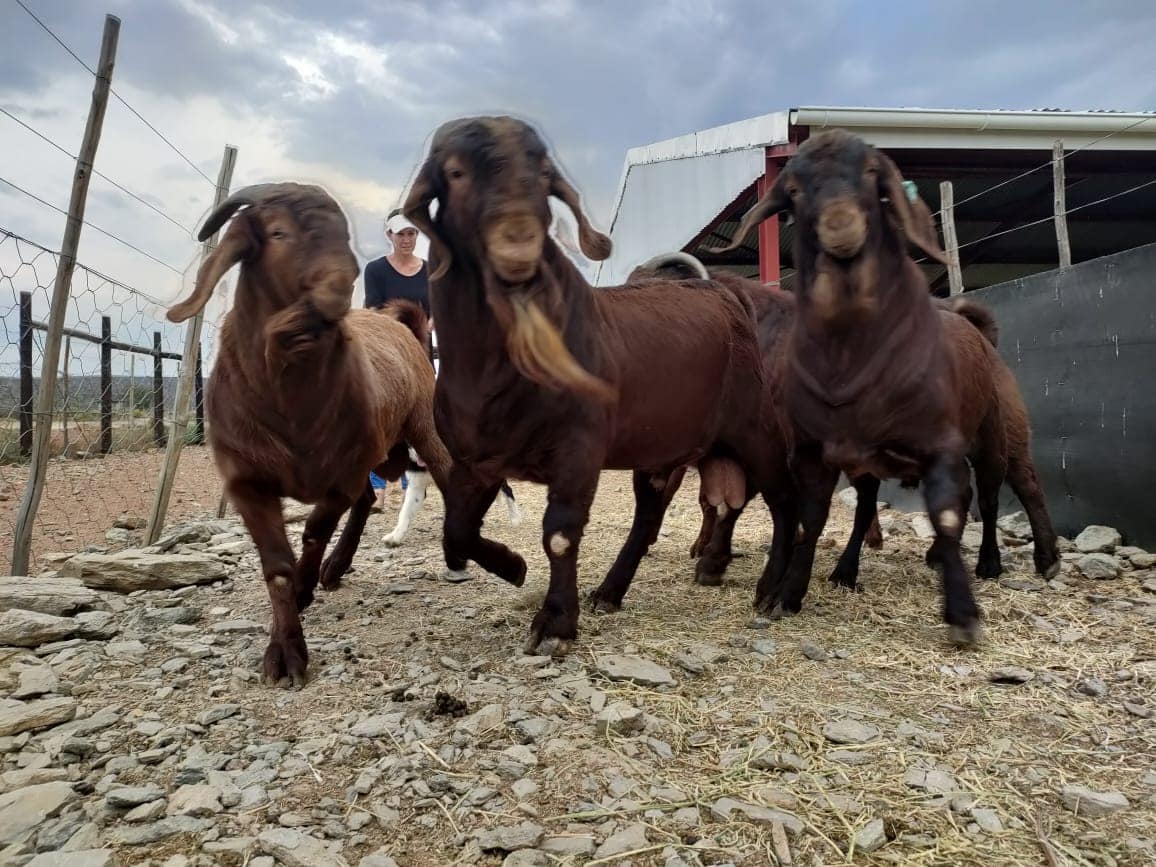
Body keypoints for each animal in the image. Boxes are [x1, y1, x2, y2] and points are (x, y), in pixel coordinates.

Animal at [166, 183, 451, 686]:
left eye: (343, 233)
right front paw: (285, 651)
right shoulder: (247, 482)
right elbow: (276, 566)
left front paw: (305, 585)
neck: (291, 408)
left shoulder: (341, 474)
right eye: (278, 232)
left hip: (417, 433)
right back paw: (336, 569)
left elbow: (317, 529)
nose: (337, 289)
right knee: (368, 500)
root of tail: (403, 328)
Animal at [402, 116, 793, 655]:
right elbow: (456, 532)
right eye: (456, 172)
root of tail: (721, 290)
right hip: (661, 450)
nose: (517, 243)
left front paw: (554, 624)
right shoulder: (474, 459)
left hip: (755, 426)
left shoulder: (579, 448)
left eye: (543, 174)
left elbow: (560, 534)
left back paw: (777, 592)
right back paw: (611, 591)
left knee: (784, 498)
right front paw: (513, 567)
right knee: (649, 517)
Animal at [710, 130, 1059, 645]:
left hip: (997, 431)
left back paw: (1023, 560)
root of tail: (976, 326)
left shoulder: (937, 441)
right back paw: (870, 566)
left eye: (875, 176)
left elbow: (946, 513)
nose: (840, 225)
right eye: (793, 190)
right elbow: (812, 518)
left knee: (1008, 489)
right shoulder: (813, 450)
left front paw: (962, 613)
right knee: (933, 500)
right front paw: (787, 594)